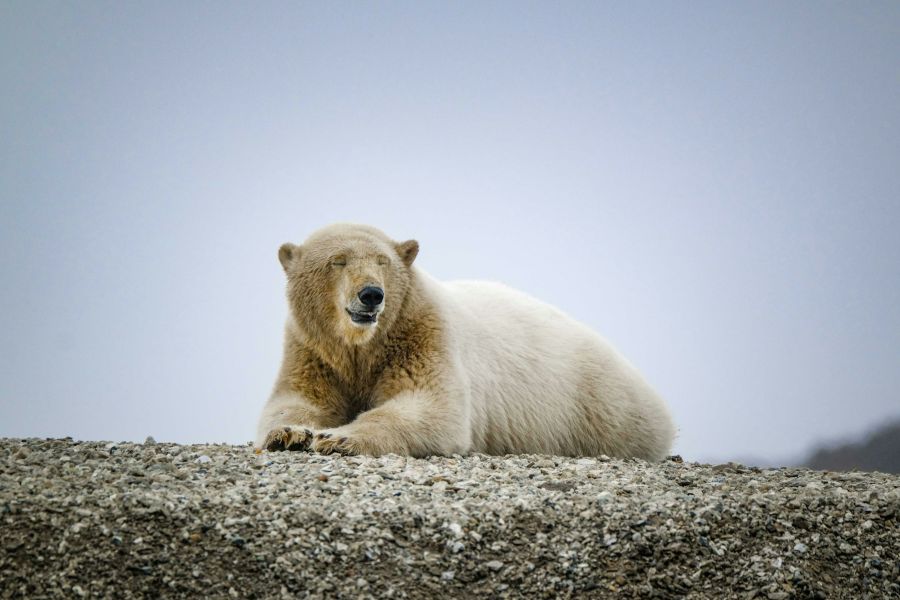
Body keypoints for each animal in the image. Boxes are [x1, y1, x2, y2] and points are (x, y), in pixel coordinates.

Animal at [256, 223, 676, 460]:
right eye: (338, 261)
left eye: (382, 261)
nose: (372, 295)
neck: (365, 346)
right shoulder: (312, 349)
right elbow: (298, 401)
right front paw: (291, 434)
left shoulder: (423, 334)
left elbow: (430, 407)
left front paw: (337, 438)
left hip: (596, 405)